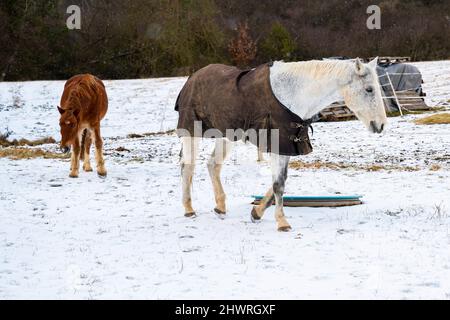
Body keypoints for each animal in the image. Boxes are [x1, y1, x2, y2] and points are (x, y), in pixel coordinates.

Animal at [179, 57, 386, 231]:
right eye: (369, 89)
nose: (381, 125)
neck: (293, 95)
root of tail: (193, 77)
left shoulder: (286, 146)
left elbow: (280, 182)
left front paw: (256, 213)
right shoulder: (277, 145)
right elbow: (278, 184)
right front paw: (282, 222)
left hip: (227, 136)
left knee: (213, 165)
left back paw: (220, 207)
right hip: (191, 133)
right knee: (188, 168)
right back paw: (188, 209)